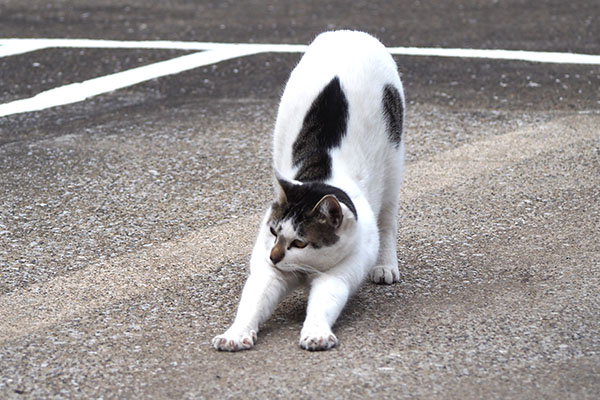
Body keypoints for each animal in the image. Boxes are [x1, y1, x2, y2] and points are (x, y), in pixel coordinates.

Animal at [211, 29, 404, 352]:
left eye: (300, 243)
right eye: (274, 232)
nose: (275, 256)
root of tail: (349, 33)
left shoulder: (338, 275)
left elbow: (324, 302)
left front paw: (316, 333)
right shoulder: (266, 272)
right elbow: (252, 303)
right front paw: (236, 334)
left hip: (393, 168)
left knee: (388, 222)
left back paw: (386, 265)